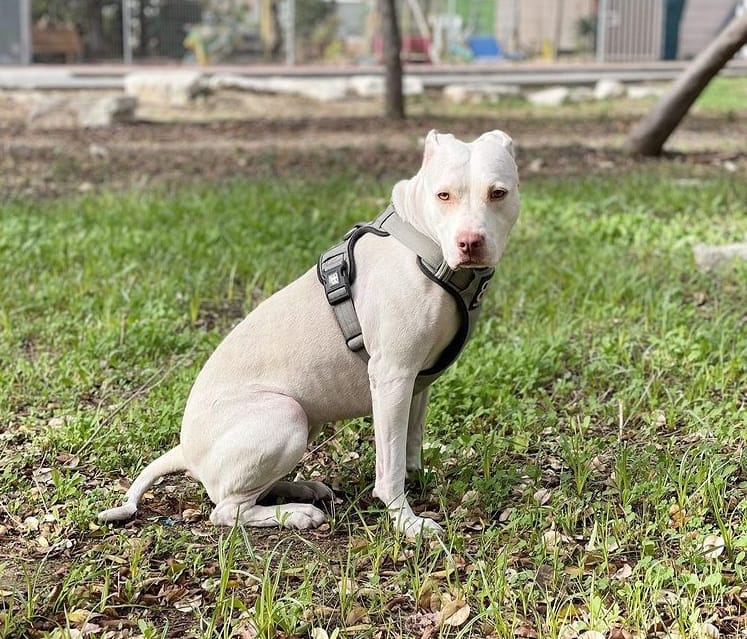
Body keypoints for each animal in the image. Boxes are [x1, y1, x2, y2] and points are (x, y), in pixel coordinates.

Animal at [98, 129, 520, 536]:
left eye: (498, 193)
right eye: (443, 195)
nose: (470, 242)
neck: (424, 243)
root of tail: (186, 450)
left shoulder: (416, 380)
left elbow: (409, 444)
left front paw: (419, 480)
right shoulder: (393, 377)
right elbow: (390, 466)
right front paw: (406, 521)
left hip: (306, 420)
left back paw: (302, 489)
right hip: (285, 416)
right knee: (228, 509)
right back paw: (296, 514)